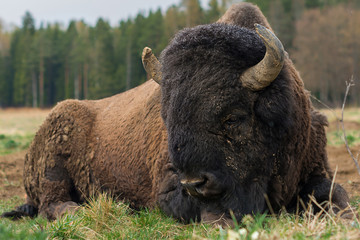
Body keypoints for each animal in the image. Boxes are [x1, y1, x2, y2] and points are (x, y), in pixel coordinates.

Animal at [2, 2, 352, 223]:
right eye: (167, 118)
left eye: (233, 118)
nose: (195, 181)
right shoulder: (171, 186)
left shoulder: (315, 168)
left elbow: (336, 193)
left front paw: (345, 217)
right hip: (55, 156)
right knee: (52, 202)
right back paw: (86, 211)